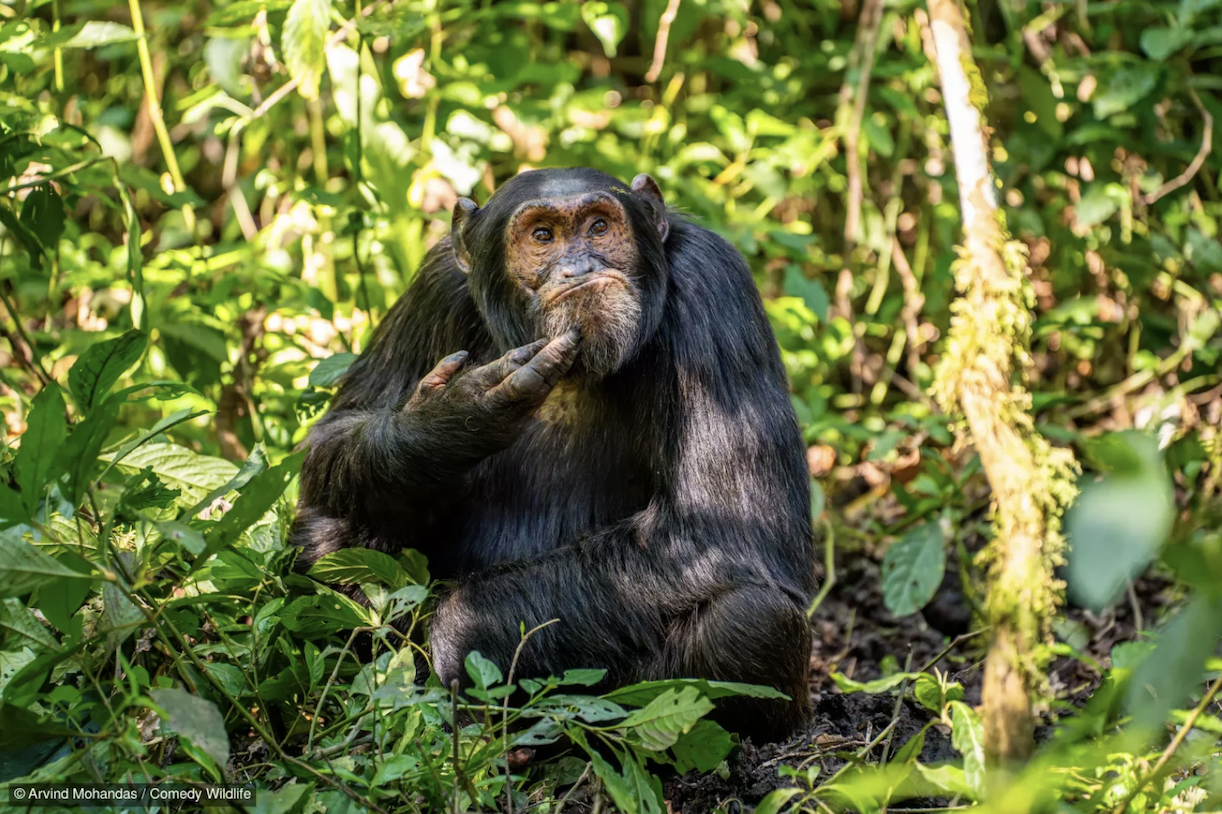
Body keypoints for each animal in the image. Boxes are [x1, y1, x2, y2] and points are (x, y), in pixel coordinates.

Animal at [290, 166, 816, 743]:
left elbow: (725, 525)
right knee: (330, 529)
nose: (579, 266)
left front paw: (461, 632)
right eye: (542, 236)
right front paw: (447, 420)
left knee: (751, 619)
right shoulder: (434, 285)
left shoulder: (713, 283)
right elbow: (335, 431)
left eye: (599, 226)